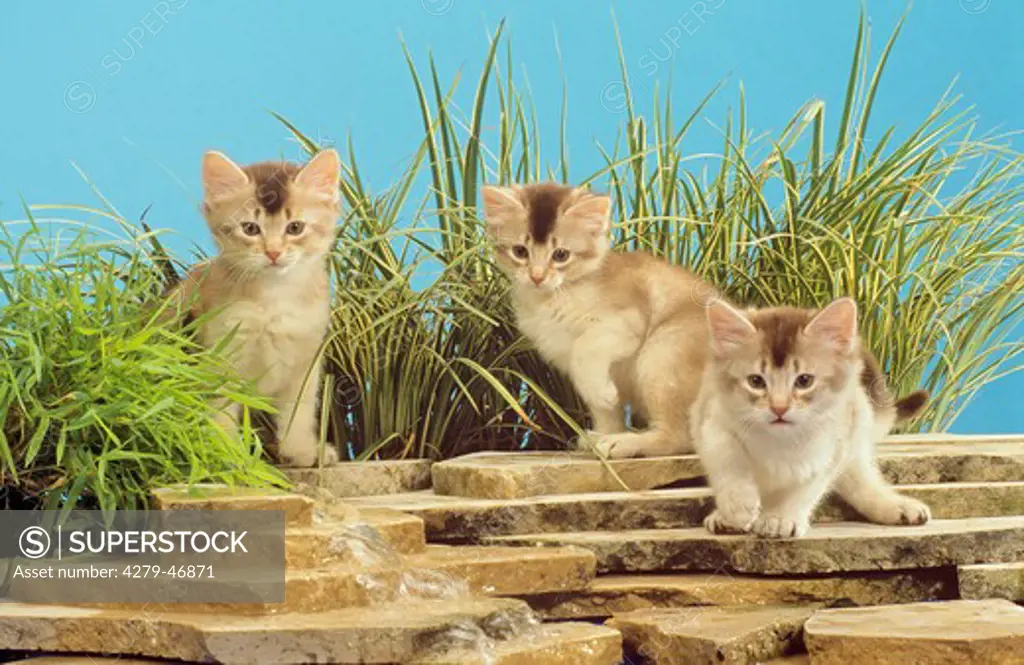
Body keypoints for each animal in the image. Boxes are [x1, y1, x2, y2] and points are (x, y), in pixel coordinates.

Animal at [168, 147, 344, 465]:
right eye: (250, 228)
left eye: (295, 227)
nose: (273, 252)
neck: (273, 299)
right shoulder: (220, 355)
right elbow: (221, 410)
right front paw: (226, 453)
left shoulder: (306, 360)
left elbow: (298, 413)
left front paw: (303, 452)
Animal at [481, 182, 716, 461]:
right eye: (520, 251)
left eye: (560, 255)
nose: (537, 277)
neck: (556, 295)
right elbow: (604, 408)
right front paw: (605, 431)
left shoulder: (626, 324)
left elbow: (585, 350)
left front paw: (604, 396)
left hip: (661, 352)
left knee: (680, 438)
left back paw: (624, 444)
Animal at [692, 299, 933, 536]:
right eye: (756, 381)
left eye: (804, 380)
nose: (779, 408)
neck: (780, 440)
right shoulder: (710, 418)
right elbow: (727, 455)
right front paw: (738, 506)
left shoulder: (836, 444)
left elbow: (807, 486)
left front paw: (780, 518)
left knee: (861, 479)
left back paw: (897, 507)